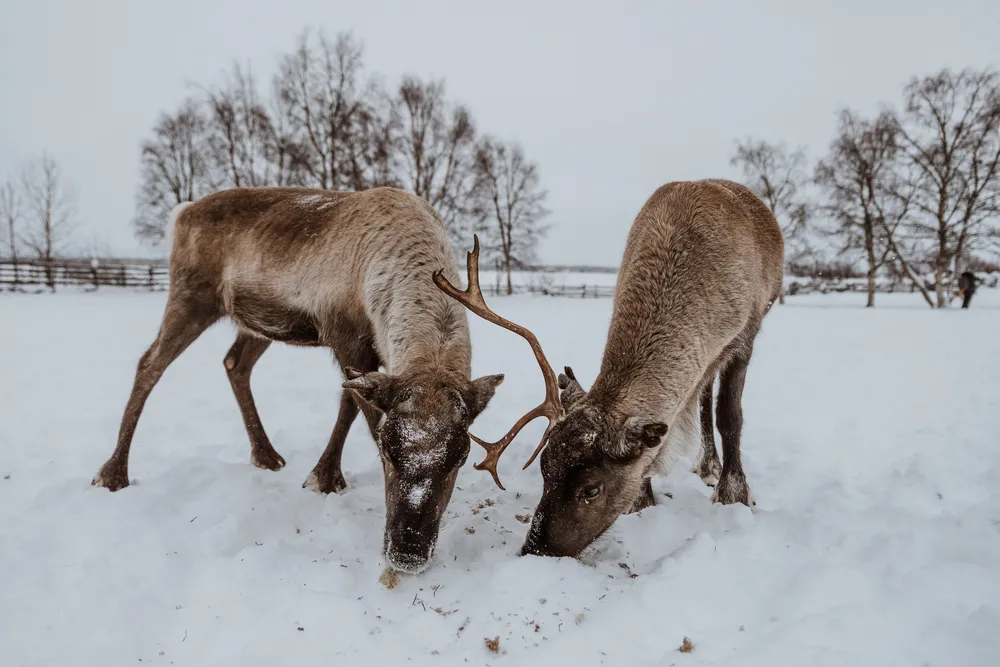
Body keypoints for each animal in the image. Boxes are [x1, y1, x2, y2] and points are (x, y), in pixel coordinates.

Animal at [92, 186, 504, 574]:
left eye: (462, 456)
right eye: (387, 451)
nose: (408, 554)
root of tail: (183, 211)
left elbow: (348, 404)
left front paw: (325, 475)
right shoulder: (345, 335)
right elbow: (360, 411)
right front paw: (326, 477)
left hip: (255, 321)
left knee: (234, 363)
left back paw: (266, 455)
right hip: (192, 295)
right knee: (150, 364)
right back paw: (113, 473)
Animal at [434, 179, 783, 559]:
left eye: (591, 489)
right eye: (544, 471)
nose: (533, 550)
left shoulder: (746, 333)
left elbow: (730, 416)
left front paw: (735, 493)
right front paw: (643, 500)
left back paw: (712, 468)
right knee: (703, 393)